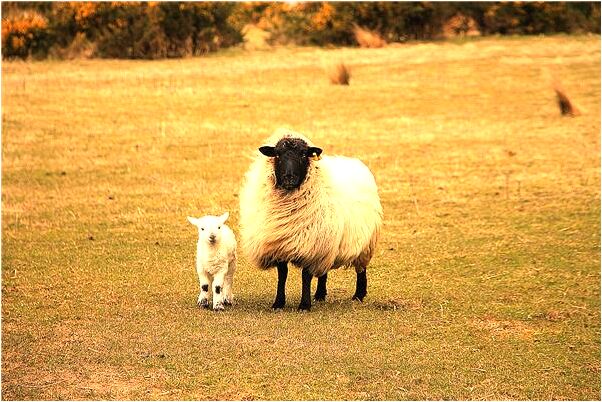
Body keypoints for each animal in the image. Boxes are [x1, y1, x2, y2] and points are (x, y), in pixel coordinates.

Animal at [238, 129, 382, 310]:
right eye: (277, 154)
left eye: (303, 154)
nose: (289, 177)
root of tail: (354, 162)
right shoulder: (281, 245)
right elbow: (282, 275)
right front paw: (278, 302)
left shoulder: (310, 247)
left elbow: (305, 276)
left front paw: (304, 305)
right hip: (327, 242)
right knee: (323, 271)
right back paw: (320, 294)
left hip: (364, 244)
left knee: (361, 269)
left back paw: (359, 295)